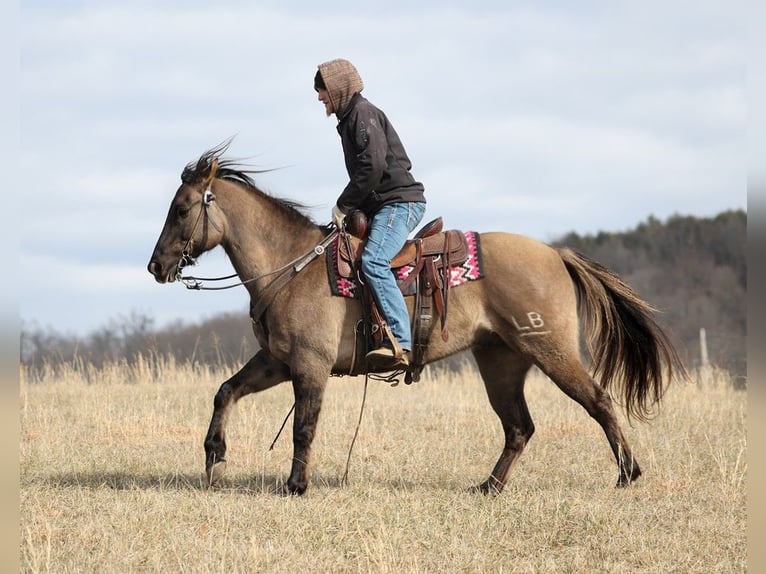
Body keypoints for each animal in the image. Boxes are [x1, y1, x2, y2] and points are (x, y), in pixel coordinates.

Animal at [148, 143, 684, 496]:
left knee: (598, 401)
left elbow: (304, 426)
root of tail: (556, 253)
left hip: (551, 350)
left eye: (181, 209)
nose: (155, 266)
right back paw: (488, 487)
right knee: (519, 428)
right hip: (501, 362)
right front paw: (214, 456)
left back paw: (628, 474)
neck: (291, 264)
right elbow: (225, 391)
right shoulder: (276, 360)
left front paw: (296, 485)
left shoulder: (309, 366)